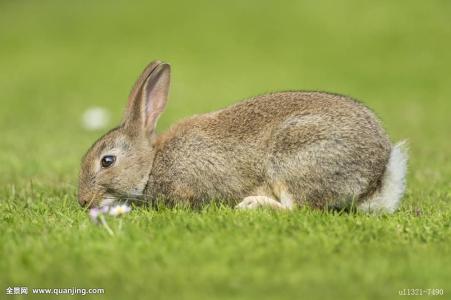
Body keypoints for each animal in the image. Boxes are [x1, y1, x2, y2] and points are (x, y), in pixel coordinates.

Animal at [78, 59, 410, 212]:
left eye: (107, 161)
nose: (82, 201)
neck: (152, 162)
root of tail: (375, 179)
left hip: (294, 160)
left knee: (298, 207)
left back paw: (253, 205)